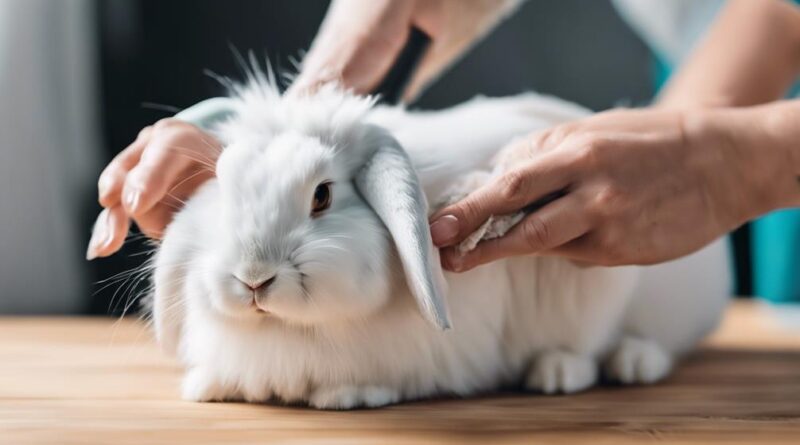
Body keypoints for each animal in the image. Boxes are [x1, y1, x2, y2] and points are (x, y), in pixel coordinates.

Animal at [152, 79, 732, 406]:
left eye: (322, 196)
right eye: (223, 183)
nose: (252, 277)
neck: (289, 331)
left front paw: (346, 396)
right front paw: (210, 386)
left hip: (606, 289)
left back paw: (579, 370)